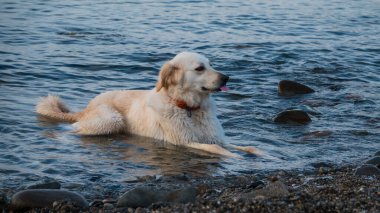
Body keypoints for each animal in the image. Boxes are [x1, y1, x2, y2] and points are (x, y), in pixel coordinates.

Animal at [36, 52, 255, 157]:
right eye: (200, 68)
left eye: (211, 64)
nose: (227, 77)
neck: (189, 108)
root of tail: (87, 107)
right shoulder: (185, 142)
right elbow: (220, 150)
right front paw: (237, 159)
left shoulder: (216, 138)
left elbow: (248, 147)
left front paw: (260, 156)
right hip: (111, 119)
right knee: (74, 130)